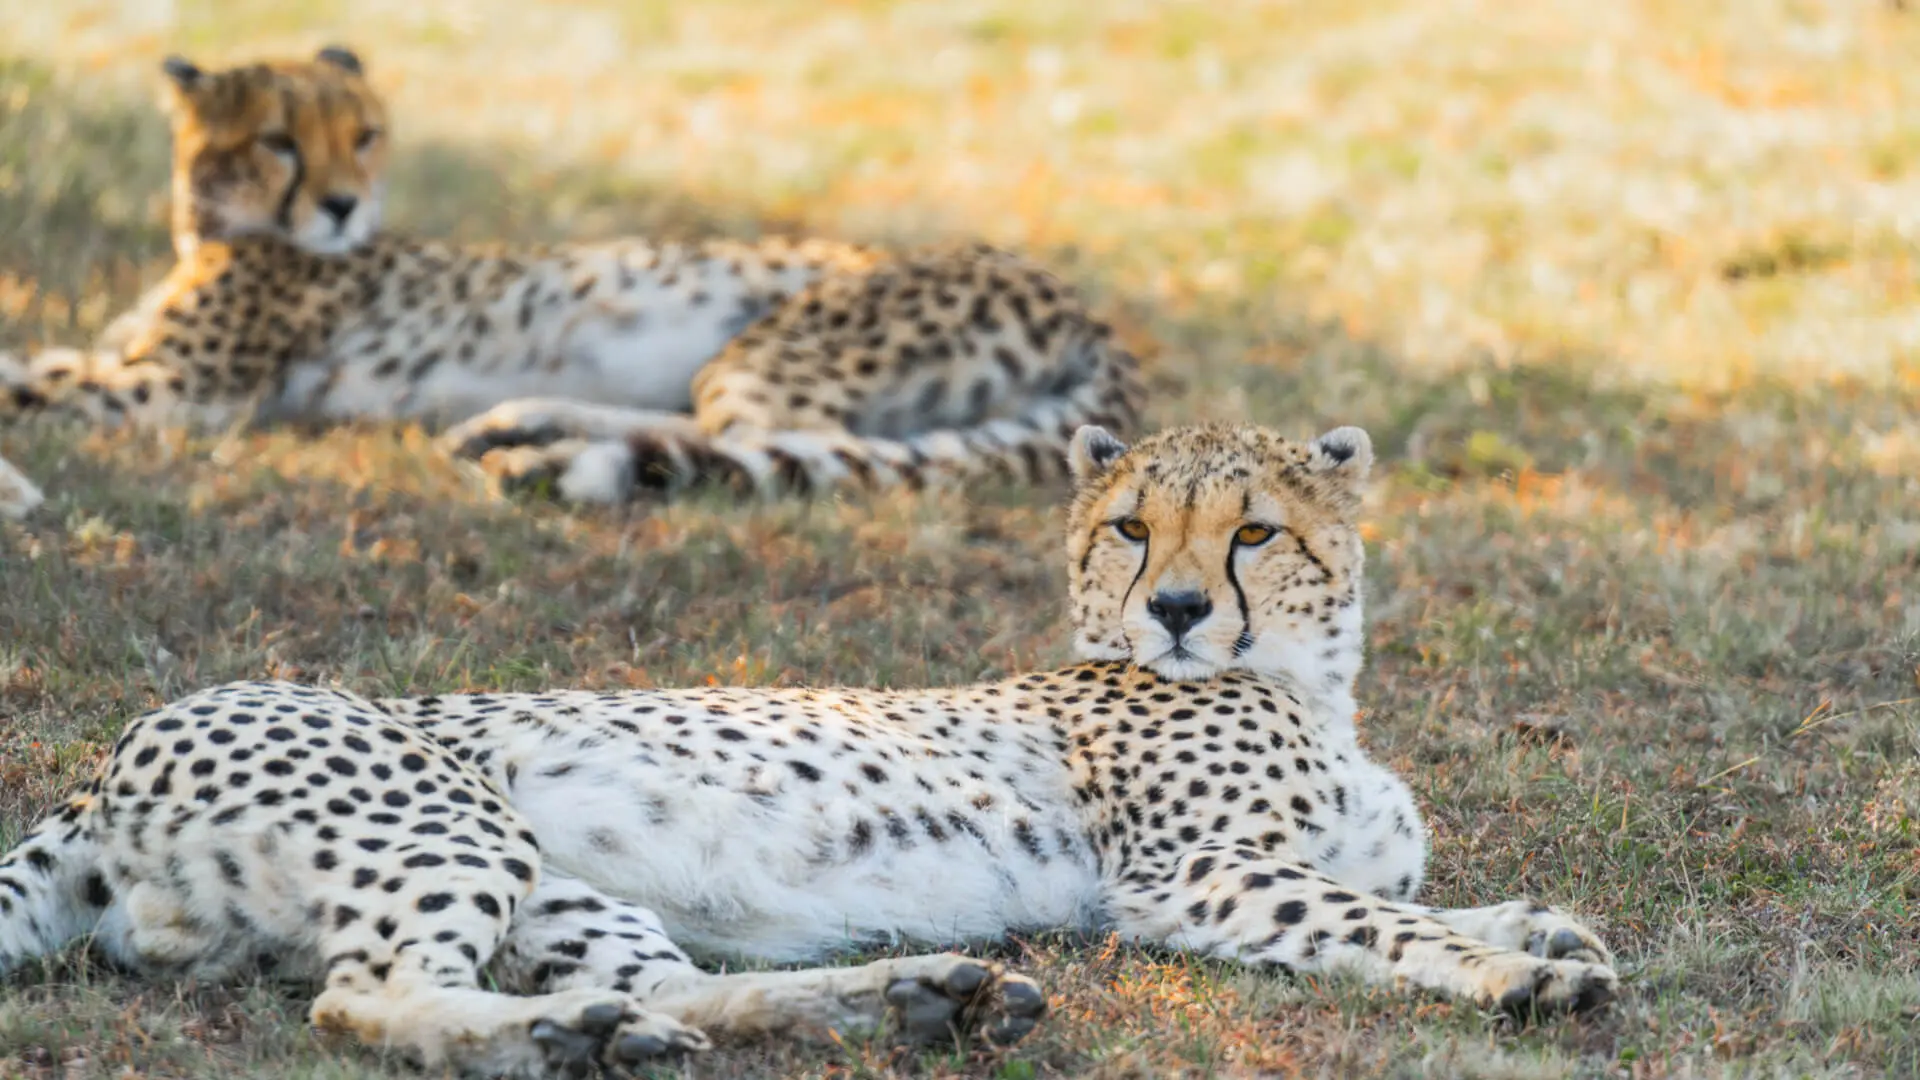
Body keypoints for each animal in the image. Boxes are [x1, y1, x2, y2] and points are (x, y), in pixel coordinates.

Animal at [0, 47, 1144, 521]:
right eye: (279, 140)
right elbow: (34, 360)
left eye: (363, 134)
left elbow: (23, 381)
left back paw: (560, 459)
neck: (210, 229)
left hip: (769, 352)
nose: (340, 206)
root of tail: (1088, 306)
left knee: (786, 450)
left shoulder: (179, 392)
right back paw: (522, 428)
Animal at [0, 420, 1617, 1076]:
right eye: (1132, 529)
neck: (1308, 681)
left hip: (561, 889)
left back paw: (896, 1002)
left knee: (671, 992)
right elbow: (1373, 919)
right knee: (362, 999)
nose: (1171, 611)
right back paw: (556, 1041)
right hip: (448, 826)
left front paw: (1537, 926)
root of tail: (105, 763)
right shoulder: (1185, 879)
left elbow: (1407, 893)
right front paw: (1520, 976)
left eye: (1255, 534)